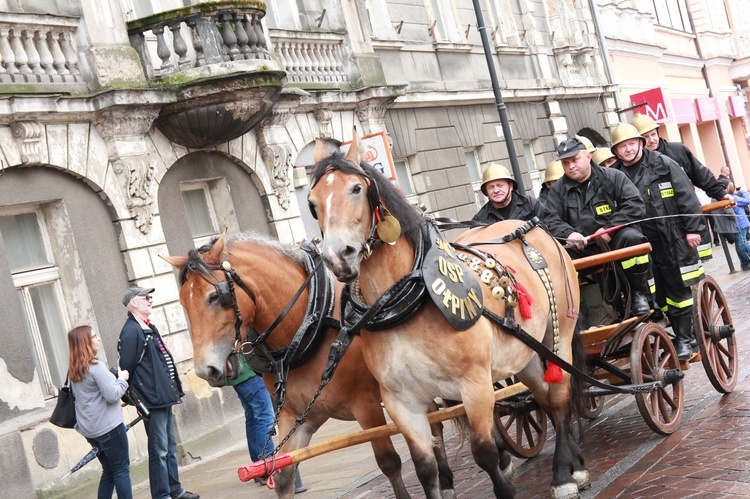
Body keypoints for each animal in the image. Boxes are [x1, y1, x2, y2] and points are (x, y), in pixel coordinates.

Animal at [164, 232, 458, 498]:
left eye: (214, 296)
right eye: (183, 302)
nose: (206, 371)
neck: (310, 321)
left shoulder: (367, 406)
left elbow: (389, 463)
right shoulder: (296, 415)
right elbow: (283, 475)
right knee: (434, 424)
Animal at [308, 137, 592, 499]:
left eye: (356, 188)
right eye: (312, 202)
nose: (336, 257)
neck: (406, 307)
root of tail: (531, 226)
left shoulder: (475, 385)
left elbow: (483, 451)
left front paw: (506, 483)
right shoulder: (402, 402)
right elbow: (424, 467)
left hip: (558, 338)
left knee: (559, 398)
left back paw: (566, 474)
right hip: (524, 353)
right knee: (543, 396)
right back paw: (574, 462)